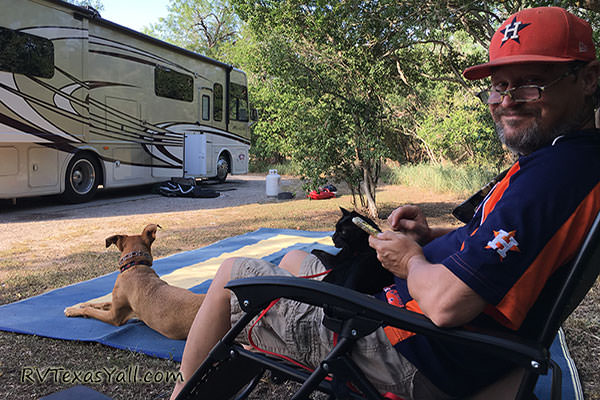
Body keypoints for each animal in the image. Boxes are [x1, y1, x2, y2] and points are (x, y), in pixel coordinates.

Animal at [63, 223, 204, 340]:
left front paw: (72, 311)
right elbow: (102, 303)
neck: (135, 264)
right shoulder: (120, 306)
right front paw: (82, 304)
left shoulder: (115, 317)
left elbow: (90, 311)